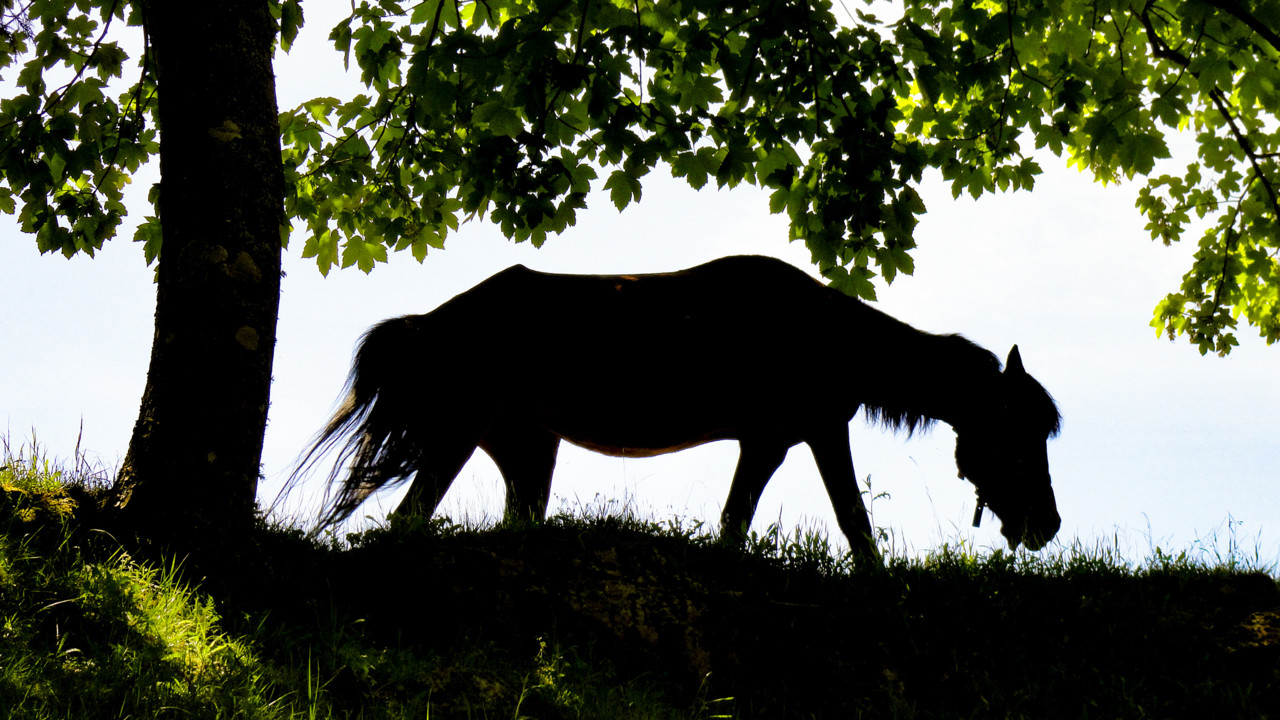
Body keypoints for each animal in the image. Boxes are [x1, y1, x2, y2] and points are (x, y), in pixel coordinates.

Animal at [299, 255, 1062, 559]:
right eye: (1019, 434)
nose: (1046, 525)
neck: (821, 332)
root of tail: (431, 322)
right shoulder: (802, 435)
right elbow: (852, 524)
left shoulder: (776, 442)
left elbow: (740, 524)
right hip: (457, 434)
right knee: (406, 519)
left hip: (527, 449)